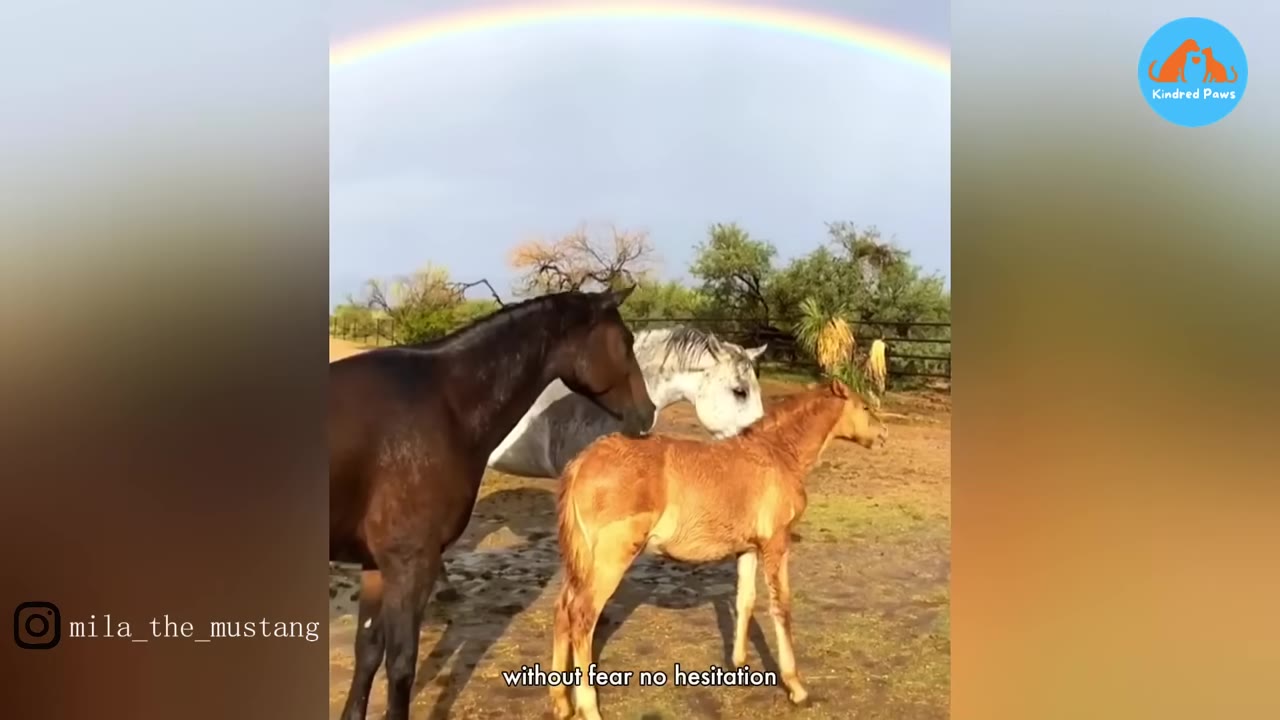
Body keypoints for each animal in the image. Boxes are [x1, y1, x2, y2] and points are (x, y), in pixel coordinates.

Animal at [329, 287, 658, 720]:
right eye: (625, 341)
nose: (648, 413)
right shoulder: (409, 564)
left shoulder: (376, 565)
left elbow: (367, 652)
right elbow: (401, 667)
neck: (444, 405)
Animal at [548, 379, 888, 720]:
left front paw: (739, 664)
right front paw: (796, 687)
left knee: (563, 609)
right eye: (865, 407)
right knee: (582, 616)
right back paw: (588, 707)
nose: (883, 435)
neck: (778, 454)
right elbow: (781, 608)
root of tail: (581, 463)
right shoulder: (776, 544)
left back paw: (562, 702)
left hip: (581, 560)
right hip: (610, 559)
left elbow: (745, 600)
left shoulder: (748, 549)